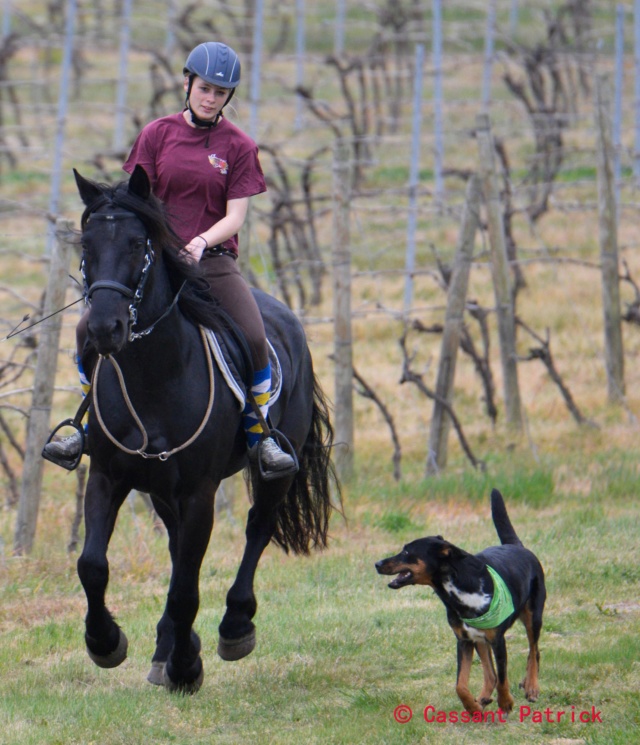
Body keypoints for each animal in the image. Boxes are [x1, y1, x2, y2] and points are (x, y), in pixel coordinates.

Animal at [71, 166, 336, 696]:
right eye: (86, 244)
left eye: (137, 243)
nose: (105, 329)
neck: (154, 376)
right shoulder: (109, 477)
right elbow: (93, 565)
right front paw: (106, 643)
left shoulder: (200, 491)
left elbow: (185, 588)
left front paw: (185, 669)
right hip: (159, 487)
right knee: (178, 550)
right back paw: (167, 646)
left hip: (277, 466)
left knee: (258, 528)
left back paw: (234, 627)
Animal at [376, 488, 544, 716]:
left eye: (407, 552)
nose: (377, 563)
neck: (455, 586)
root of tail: (516, 545)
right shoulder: (464, 640)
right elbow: (460, 685)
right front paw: (472, 707)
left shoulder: (497, 640)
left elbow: (503, 677)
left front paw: (506, 703)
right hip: (479, 640)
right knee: (490, 674)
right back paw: (483, 697)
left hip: (533, 616)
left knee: (533, 652)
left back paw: (531, 686)